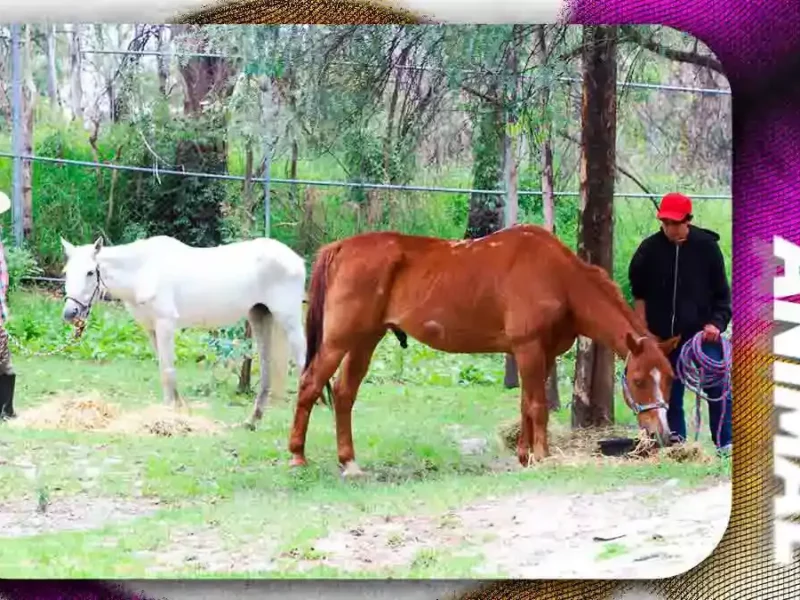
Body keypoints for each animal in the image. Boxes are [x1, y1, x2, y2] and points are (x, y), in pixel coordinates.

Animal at [60, 234, 308, 430]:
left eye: (90, 272)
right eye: (66, 272)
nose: (70, 312)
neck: (143, 270)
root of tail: (296, 259)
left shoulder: (165, 325)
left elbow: (167, 372)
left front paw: (169, 414)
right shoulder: (152, 329)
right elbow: (165, 368)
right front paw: (178, 409)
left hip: (289, 319)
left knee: (303, 361)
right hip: (260, 317)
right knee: (267, 369)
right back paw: (252, 421)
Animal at [288, 224, 681, 477]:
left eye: (670, 378)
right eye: (639, 380)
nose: (663, 434)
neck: (559, 277)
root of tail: (341, 248)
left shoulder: (542, 355)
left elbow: (525, 404)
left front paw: (524, 455)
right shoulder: (528, 349)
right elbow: (537, 407)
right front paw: (542, 456)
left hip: (364, 341)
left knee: (343, 393)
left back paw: (349, 462)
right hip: (339, 341)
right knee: (310, 385)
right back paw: (297, 457)